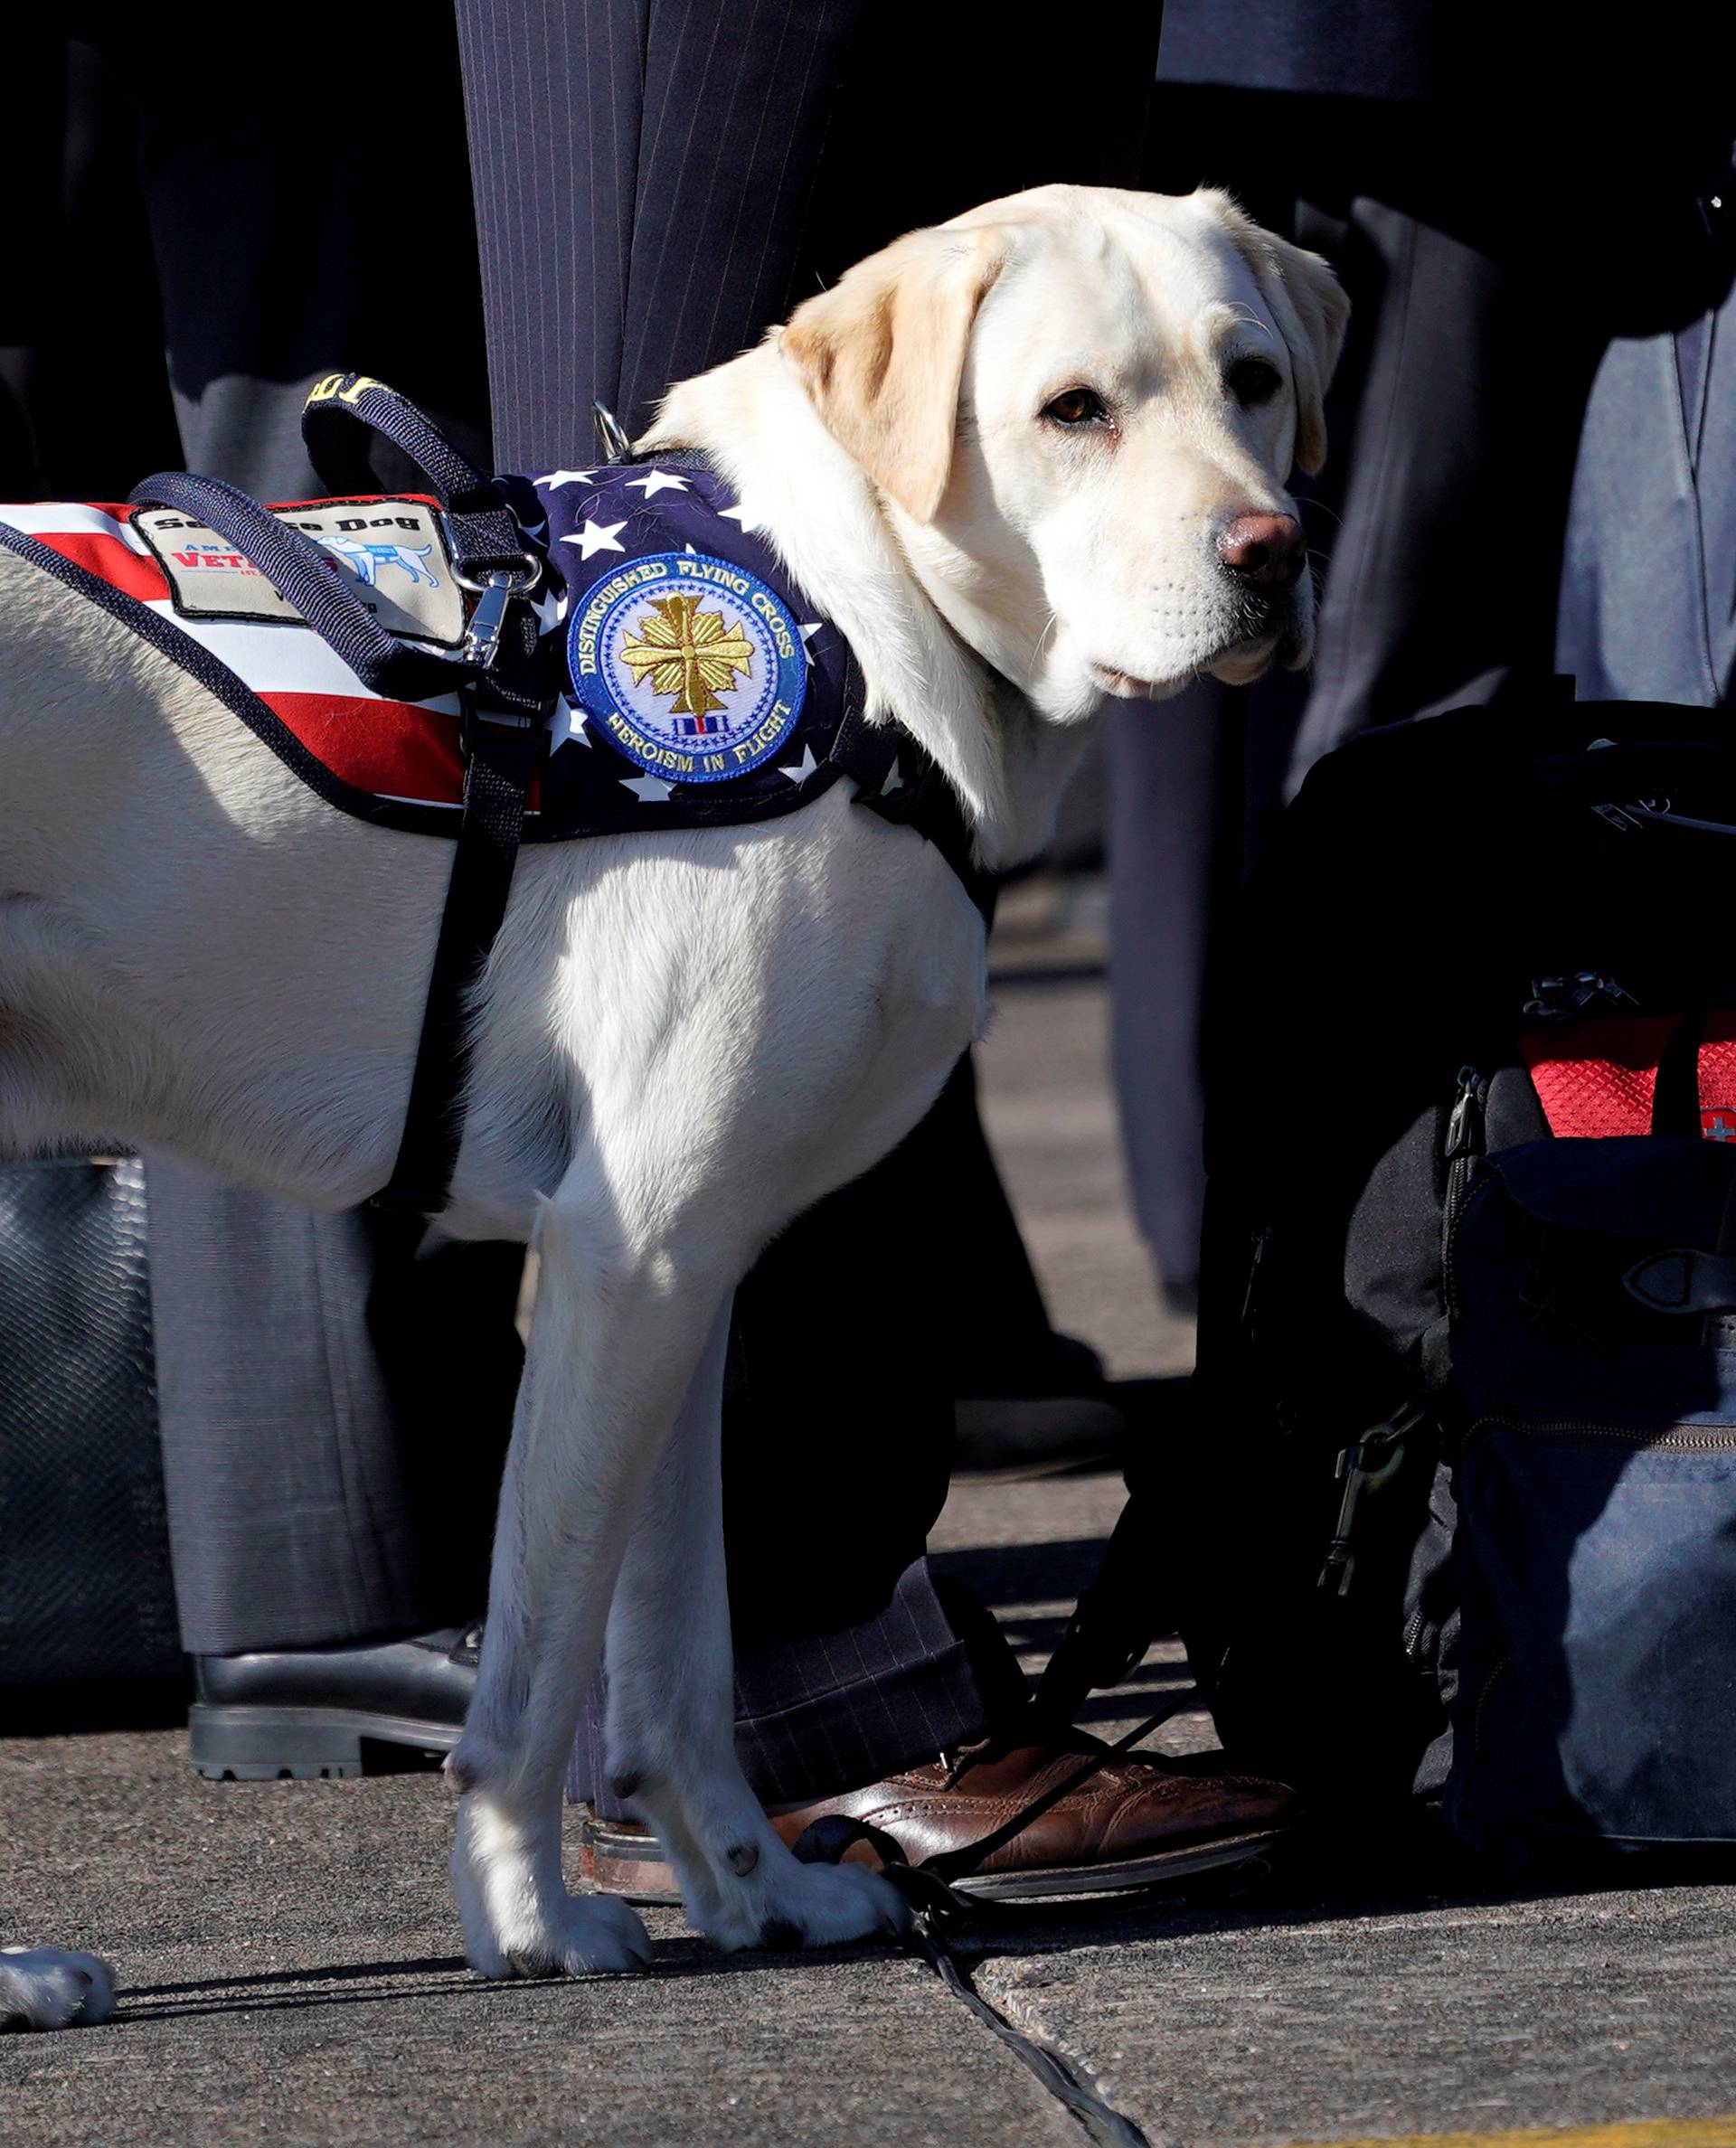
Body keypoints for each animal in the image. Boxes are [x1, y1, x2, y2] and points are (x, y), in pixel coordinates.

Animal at [0, 180, 1349, 2010]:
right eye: (1075, 410)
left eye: (1256, 381)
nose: (1267, 555)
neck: (857, 627)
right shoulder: (620, 1251)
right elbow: (545, 1654)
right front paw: (531, 1919)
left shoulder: (688, 1270)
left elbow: (679, 1659)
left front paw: (752, 1891)